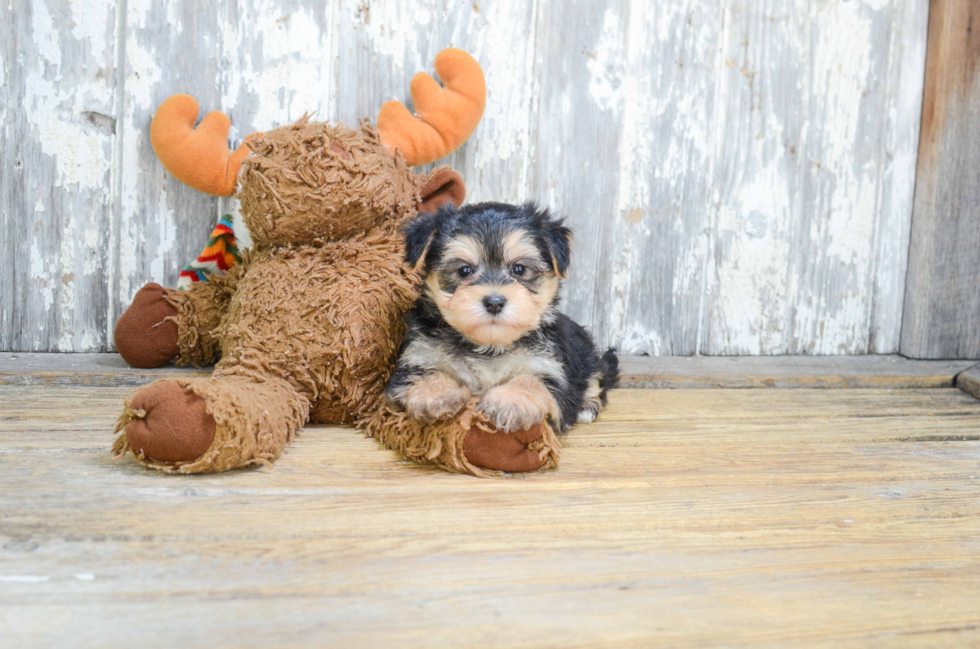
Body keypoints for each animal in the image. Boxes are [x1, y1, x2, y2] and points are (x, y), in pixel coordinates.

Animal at [386, 201, 616, 436]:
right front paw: (436, 394)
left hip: (586, 355)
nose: (494, 302)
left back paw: (587, 406)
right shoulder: (419, 354)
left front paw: (509, 401)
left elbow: (531, 380)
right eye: (464, 271)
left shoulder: (551, 366)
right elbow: (424, 373)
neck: (489, 346)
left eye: (519, 269)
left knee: (596, 379)